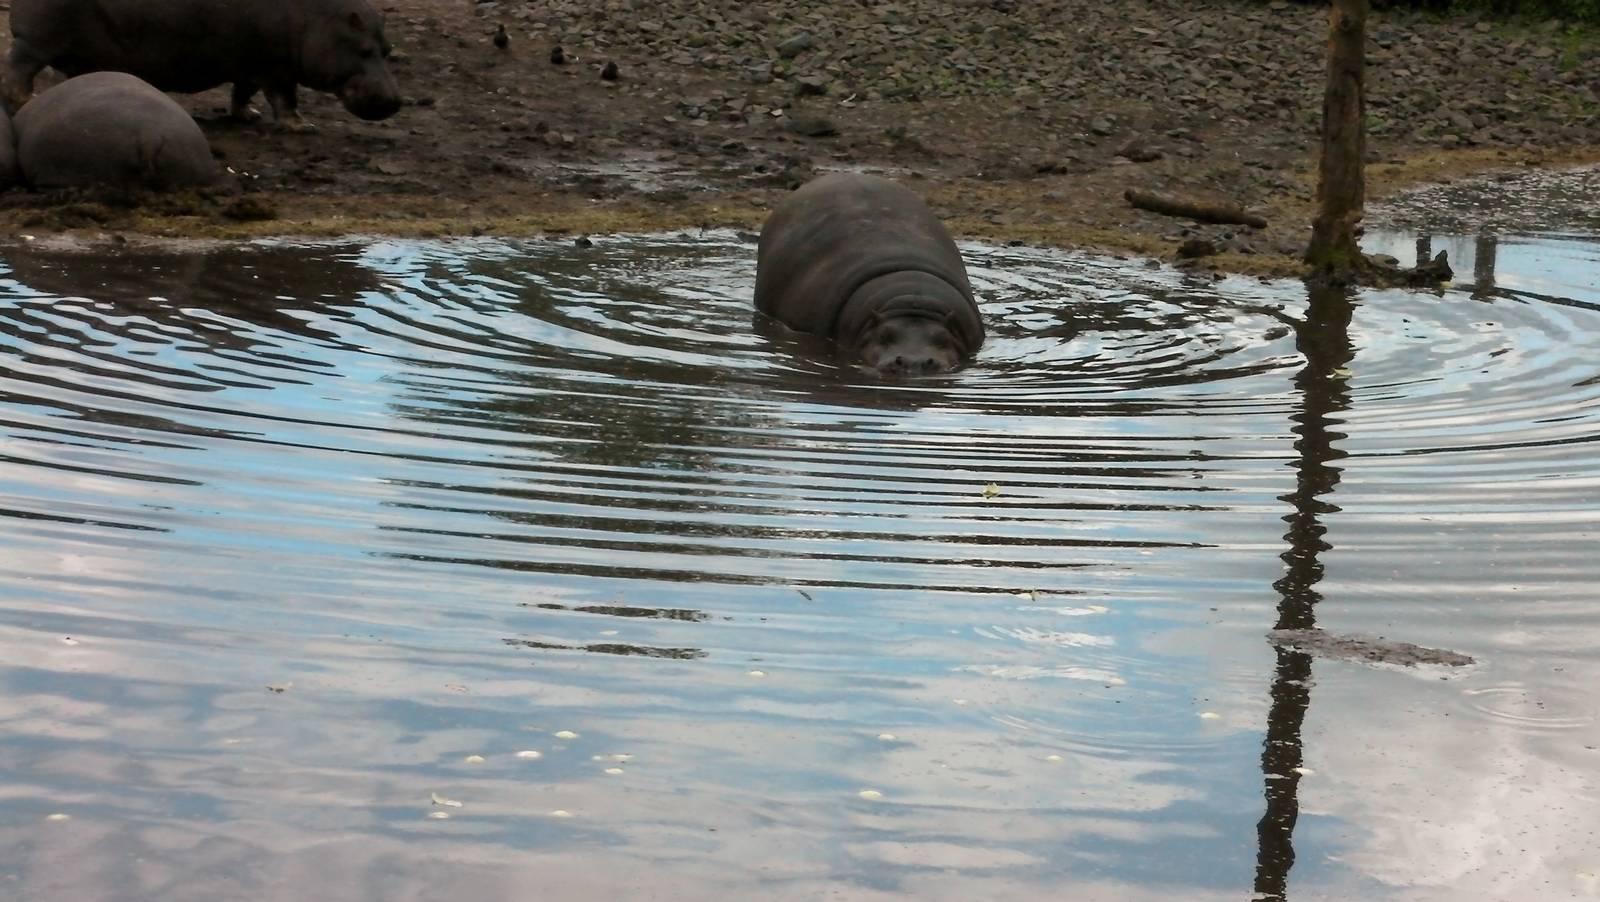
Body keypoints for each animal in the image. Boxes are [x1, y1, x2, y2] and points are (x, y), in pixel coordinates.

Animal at [3, 0, 401, 128]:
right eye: (365, 50)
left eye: (387, 48)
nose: (395, 100)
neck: (322, 19)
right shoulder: (276, 66)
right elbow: (285, 97)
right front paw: (301, 126)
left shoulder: (250, 63)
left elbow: (243, 92)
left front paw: (248, 116)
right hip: (35, 43)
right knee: (17, 73)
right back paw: (25, 103)